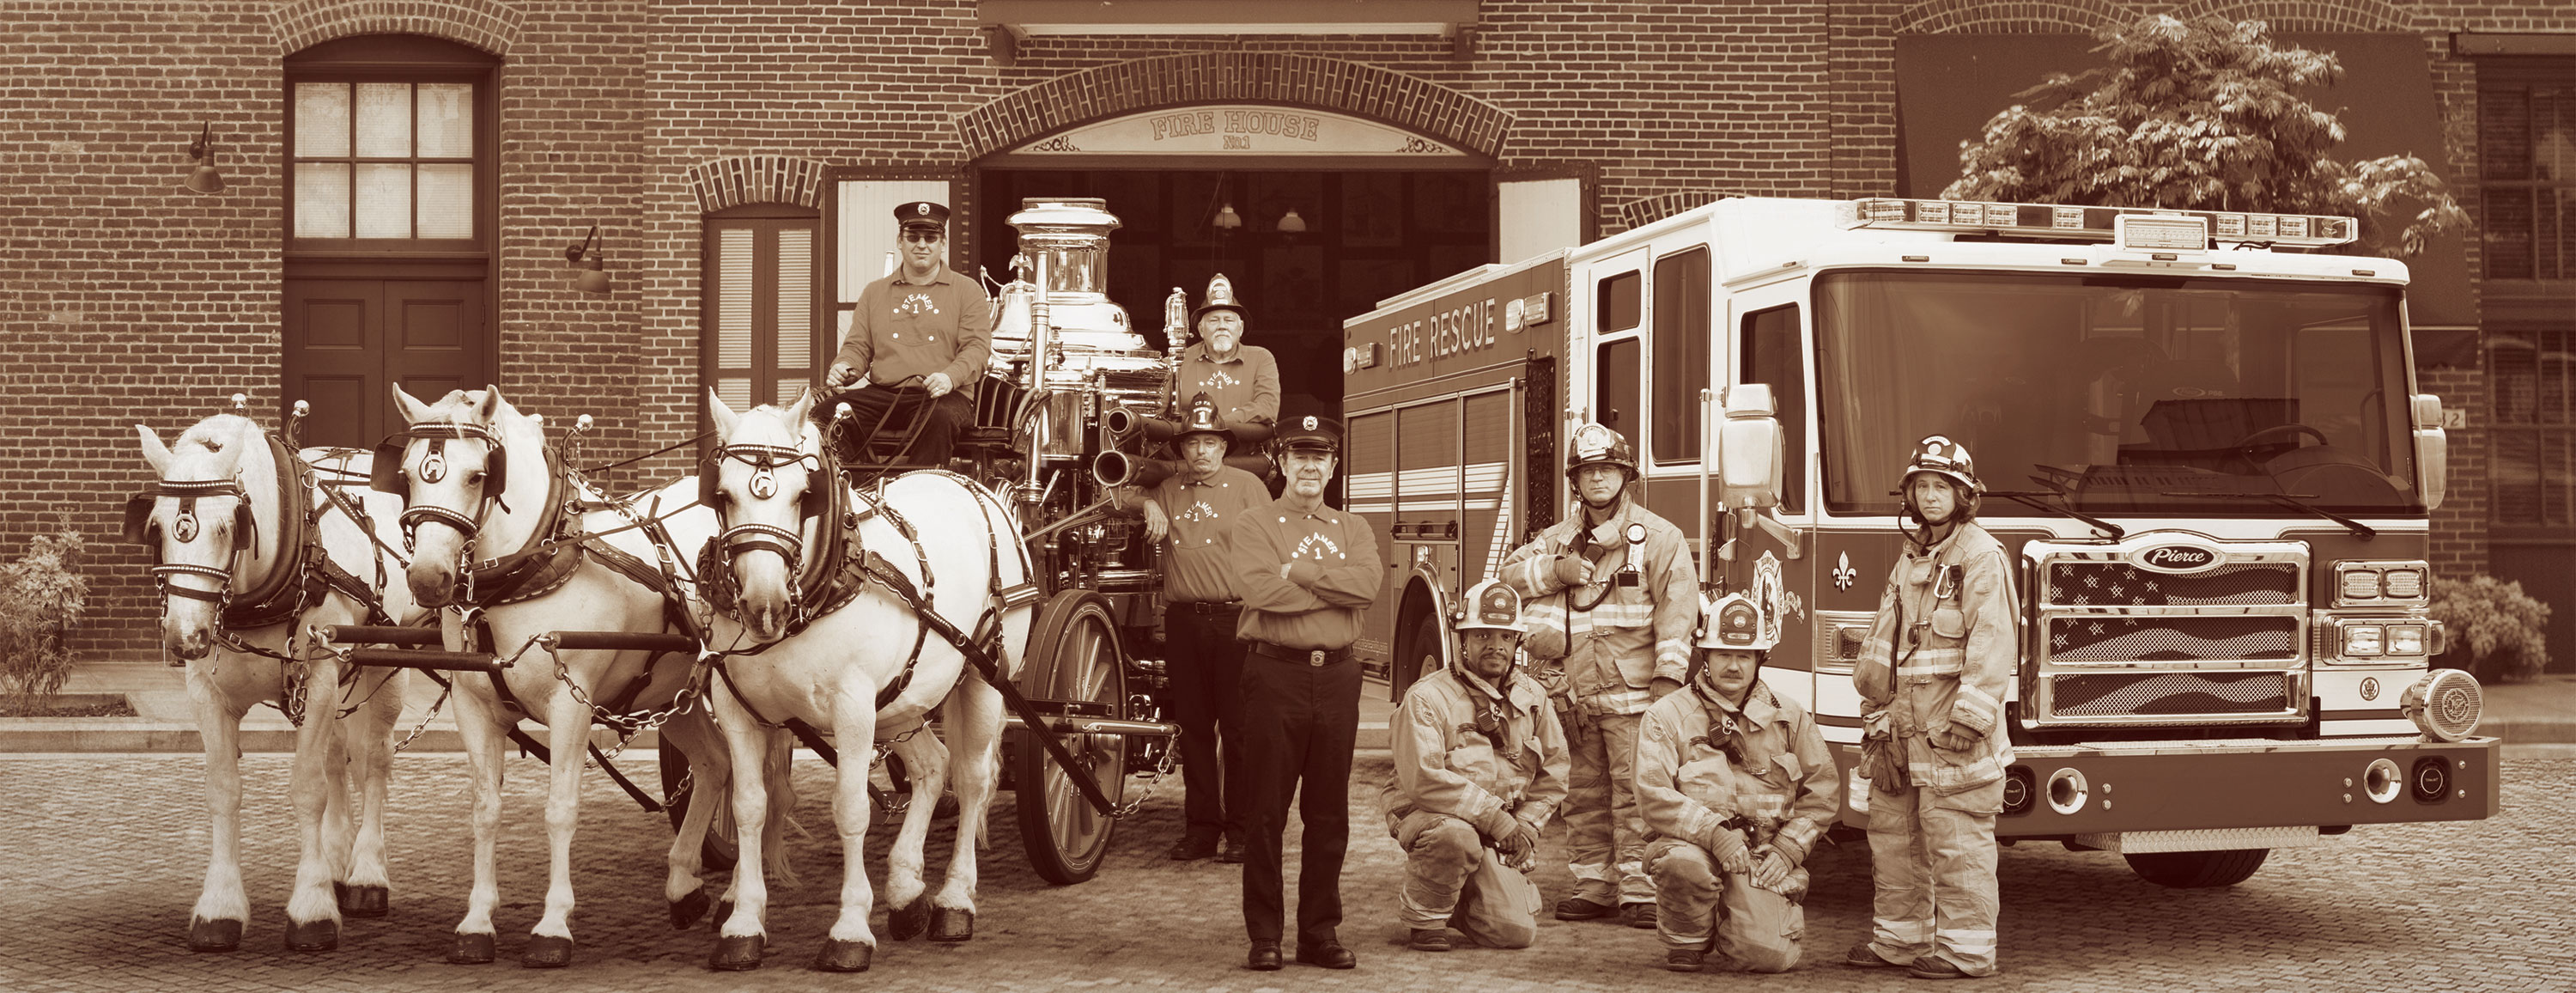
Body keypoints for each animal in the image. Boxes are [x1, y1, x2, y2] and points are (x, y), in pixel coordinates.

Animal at [131, 412, 417, 948]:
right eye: (156, 526)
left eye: (229, 527)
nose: (184, 637)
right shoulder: (207, 693)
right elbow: (224, 790)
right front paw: (219, 907)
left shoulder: (319, 674)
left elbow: (308, 788)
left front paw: (312, 909)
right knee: (337, 757)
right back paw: (337, 863)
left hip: (386, 662)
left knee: (374, 760)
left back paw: (367, 874)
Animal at [384, 381, 752, 964]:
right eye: (407, 474)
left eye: (479, 475)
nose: (426, 578)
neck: (526, 572)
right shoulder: (473, 705)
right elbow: (485, 809)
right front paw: (476, 922)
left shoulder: (570, 704)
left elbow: (559, 808)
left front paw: (553, 925)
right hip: (672, 695)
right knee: (717, 764)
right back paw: (684, 886)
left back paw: (737, 897)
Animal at [706, 392, 1036, 969]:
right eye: (722, 494)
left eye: (803, 496)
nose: (764, 606)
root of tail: (974, 485)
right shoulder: (738, 712)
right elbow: (749, 806)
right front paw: (743, 924)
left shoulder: (853, 709)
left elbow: (852, 809)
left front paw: (850, 930)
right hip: (903, 702)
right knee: (933, 767)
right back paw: (906, 892)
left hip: (984, 679)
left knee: (972, 778)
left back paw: (954, 901)